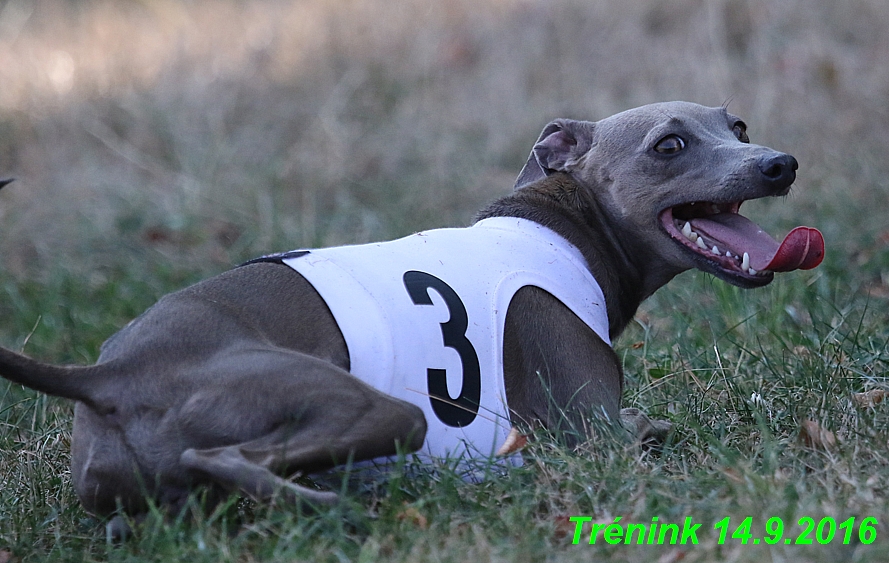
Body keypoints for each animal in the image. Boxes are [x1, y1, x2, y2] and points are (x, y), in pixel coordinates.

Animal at [0, 101, 824, 528]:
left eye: (736, 126)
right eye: (670, 144)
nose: (779, 163)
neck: (564, 225)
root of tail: (111, 373)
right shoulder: (591, 435)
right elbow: (643, 433)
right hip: (379, 408)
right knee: (225, 460)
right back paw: (348, 501)